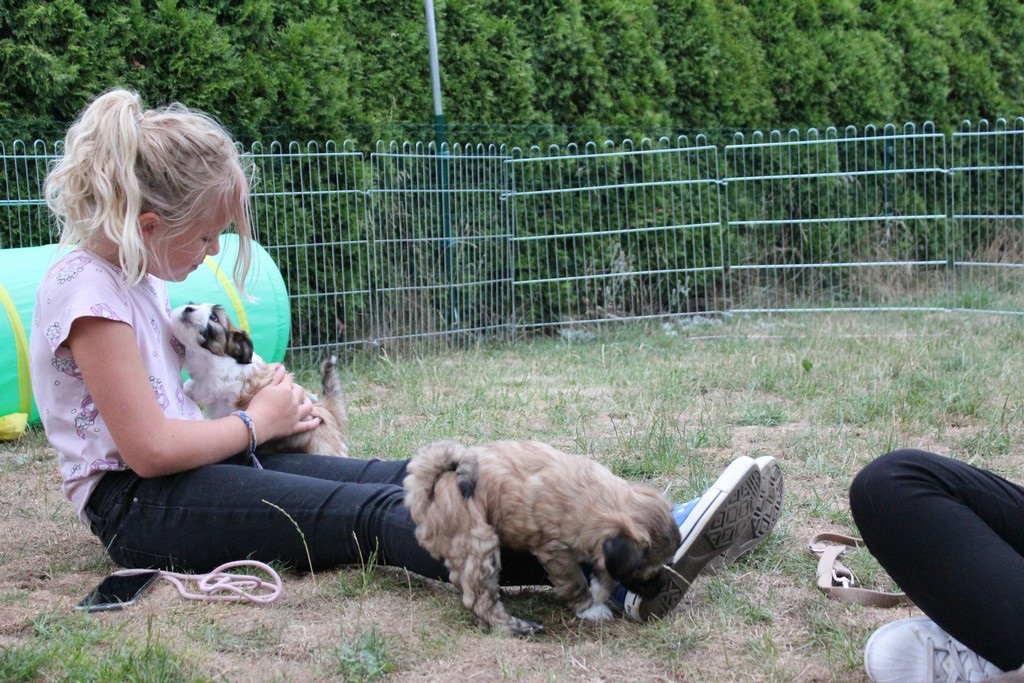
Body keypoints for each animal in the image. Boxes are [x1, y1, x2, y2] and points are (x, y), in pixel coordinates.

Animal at [170, 303, 348, 457]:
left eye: (214, 317)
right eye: (192, 303)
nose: (187, 308)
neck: (218, 358)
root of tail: (328, 409)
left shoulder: (217, 383)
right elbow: (192, 385)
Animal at [403, 439, 681, 636]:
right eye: (651, 569)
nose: (662, 588)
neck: (599, 499)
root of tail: (429, 490)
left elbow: (604, 570)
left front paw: (600, 590)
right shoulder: (556, 550)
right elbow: (574, 581)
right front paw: (589, 607)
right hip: (480, 544)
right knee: (479, 598)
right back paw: (516, 627)